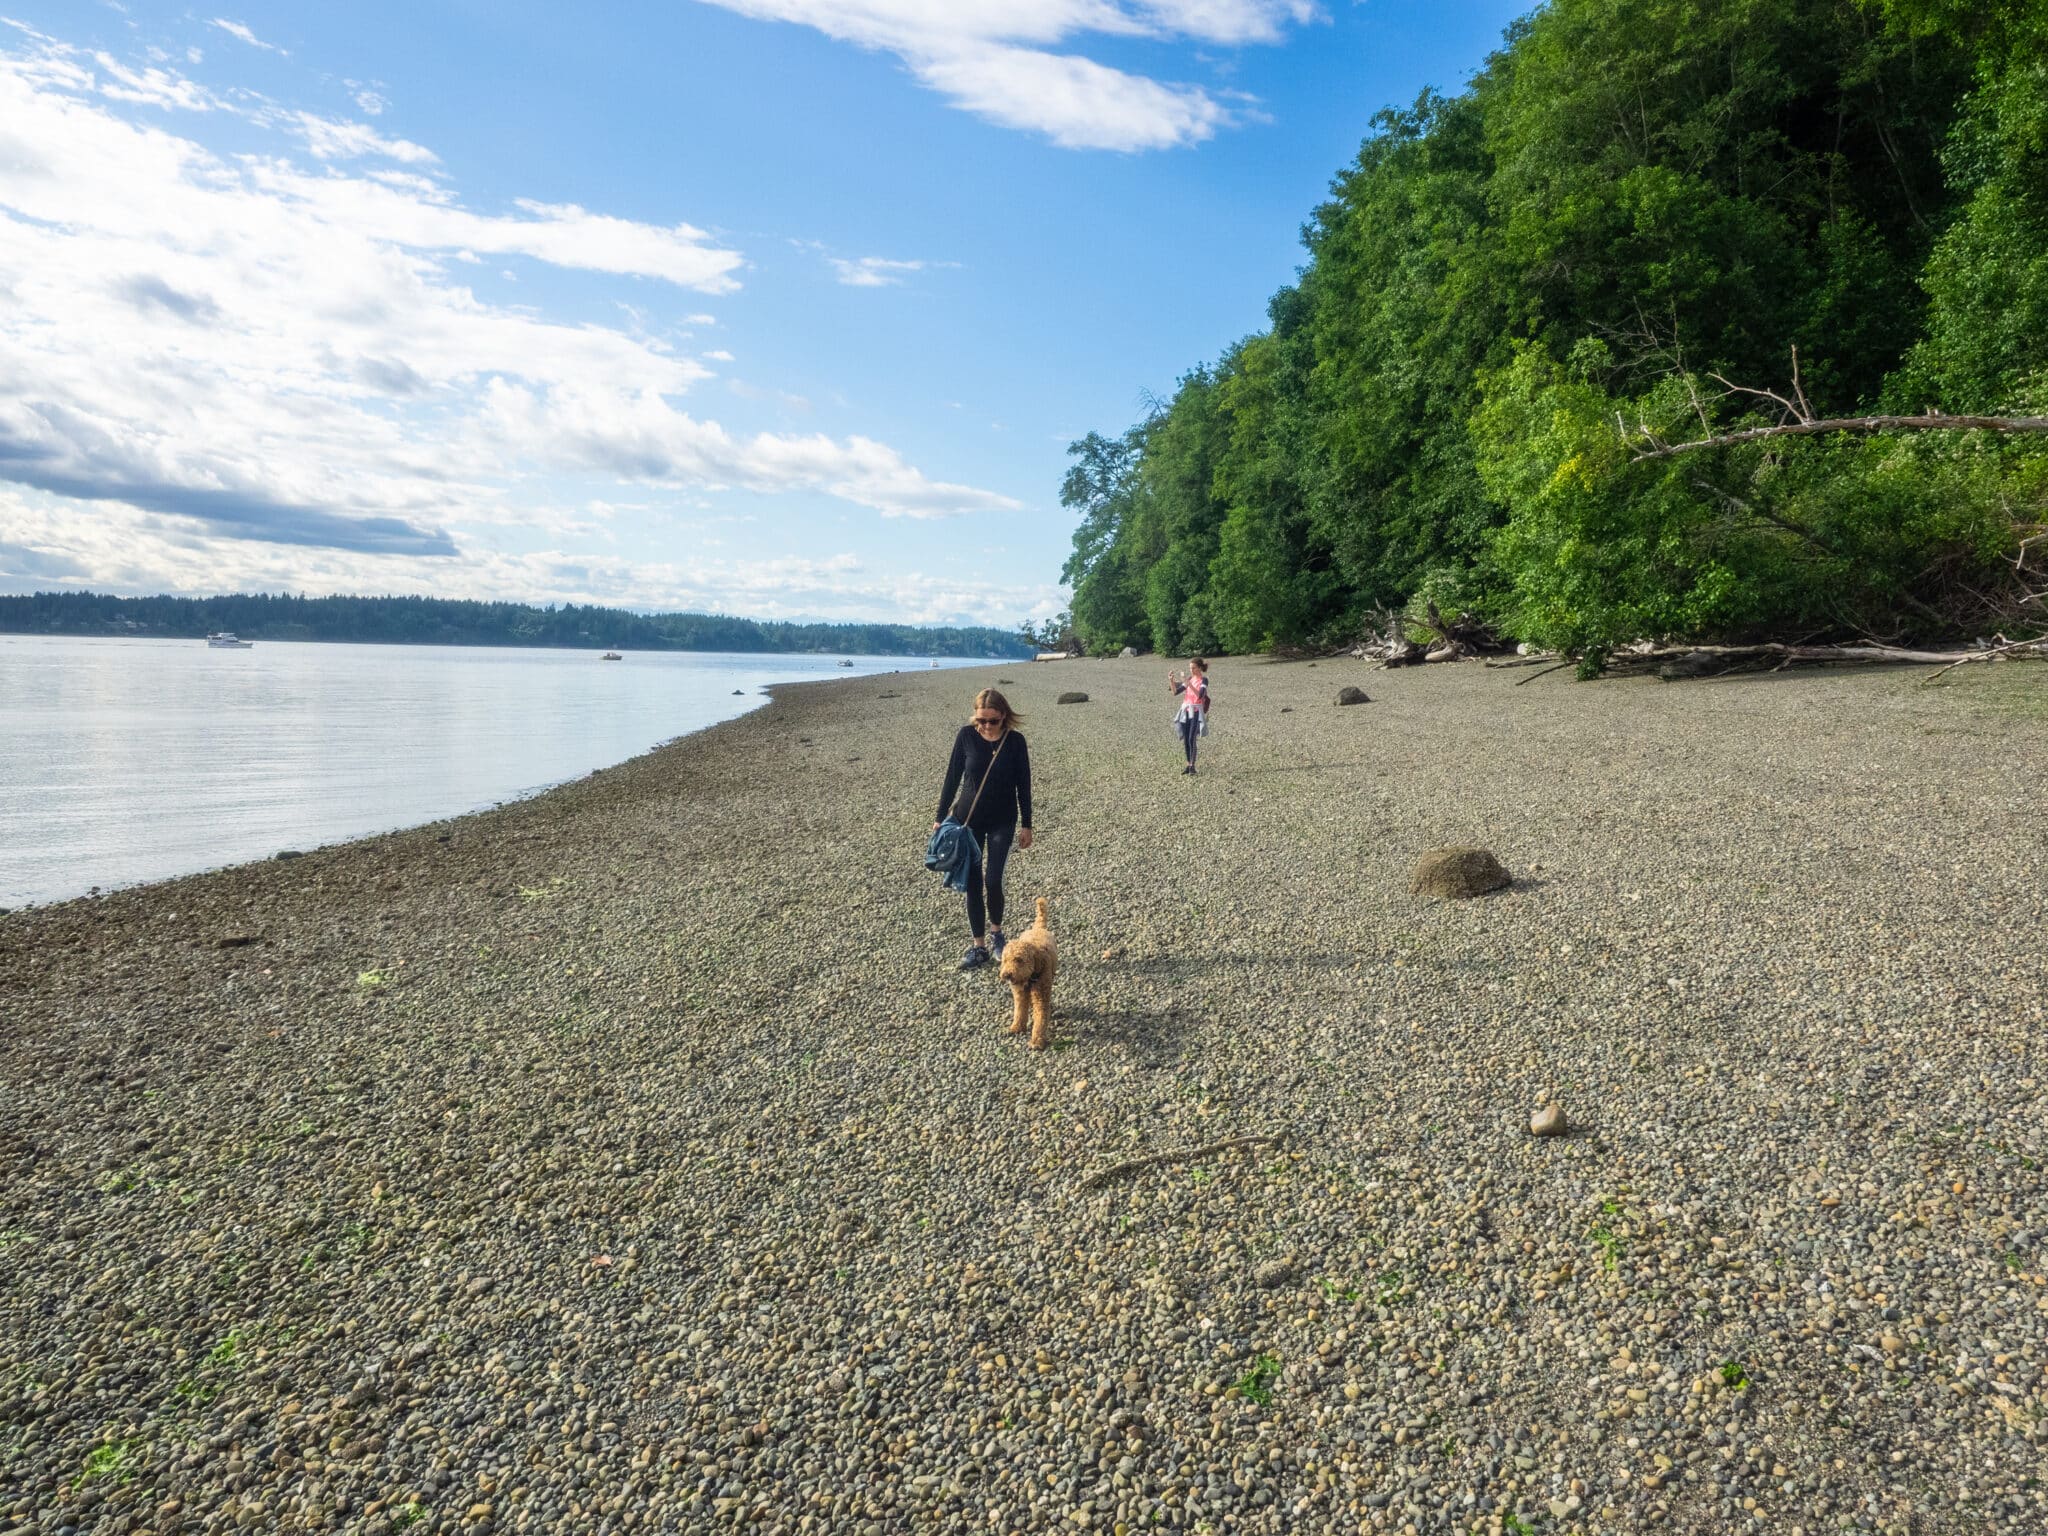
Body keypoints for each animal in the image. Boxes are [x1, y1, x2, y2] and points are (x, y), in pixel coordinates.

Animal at [995, 897, 1056, 1056]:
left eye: (1019, 959)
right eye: (1005, 960)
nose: (1006, 974)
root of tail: (1038, 928)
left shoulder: (1041, 997)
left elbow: (1040, 1019)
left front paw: (1036, 1041)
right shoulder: (1019, 994)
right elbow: (1020, 1010)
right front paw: (1017, 1027)